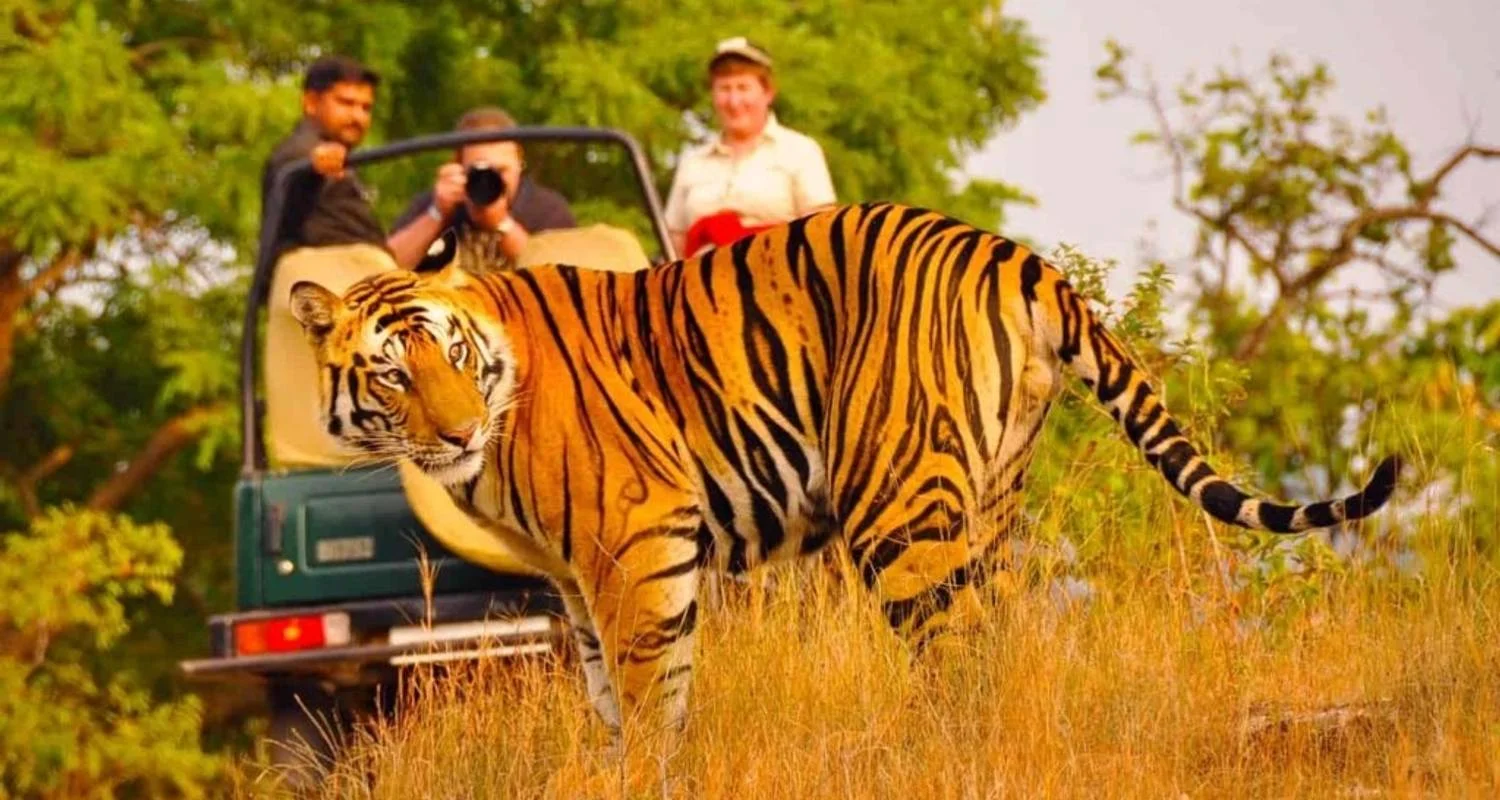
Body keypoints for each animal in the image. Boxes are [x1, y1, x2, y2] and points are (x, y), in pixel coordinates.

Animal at [288, 201, 1401, 740]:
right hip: (989, 500)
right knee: (1003, 644)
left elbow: (652, 697)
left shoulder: (636, 542)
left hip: (898, 506)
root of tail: (1015, 254)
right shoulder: (575, 579)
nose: (456, 432)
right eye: (393, 372)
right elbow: (611, 697)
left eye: (451, 353)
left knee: (958, 656)